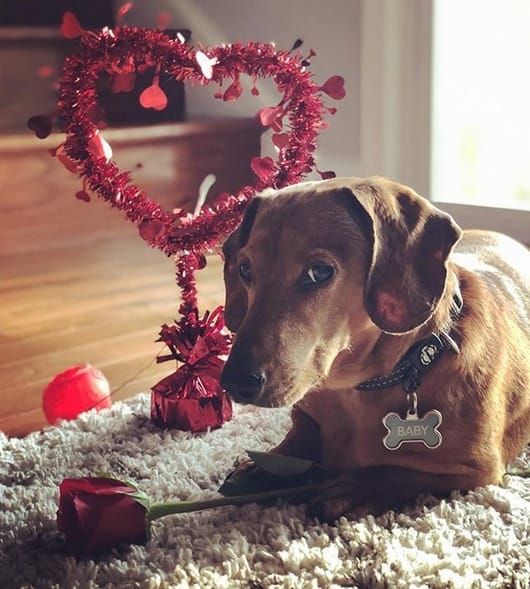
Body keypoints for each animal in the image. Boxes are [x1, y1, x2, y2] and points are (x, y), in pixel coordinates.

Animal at [220, 176, 530, 521]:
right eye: (245, 270)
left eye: (319, 272)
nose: (235, 383)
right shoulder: (306, 414)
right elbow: (299, 438)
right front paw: (261, 467)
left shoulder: (479, 470)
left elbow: (397, 472)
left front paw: (352, 489)